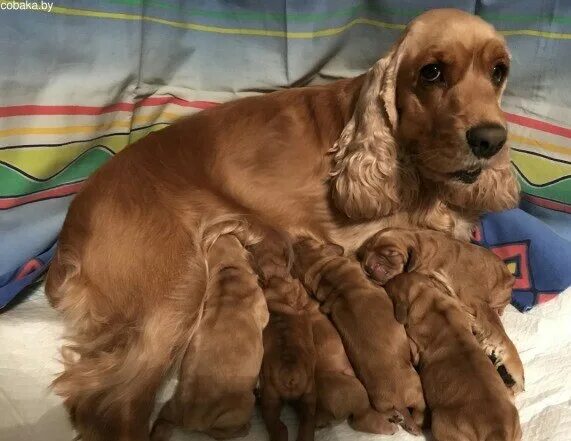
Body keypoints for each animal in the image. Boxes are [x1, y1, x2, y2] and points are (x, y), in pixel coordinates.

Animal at [151, 235, 270, 440]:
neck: (228, 269)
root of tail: (189, 417)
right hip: (243, 404)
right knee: (220, 433)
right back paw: (245, 428)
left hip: (170, 406)